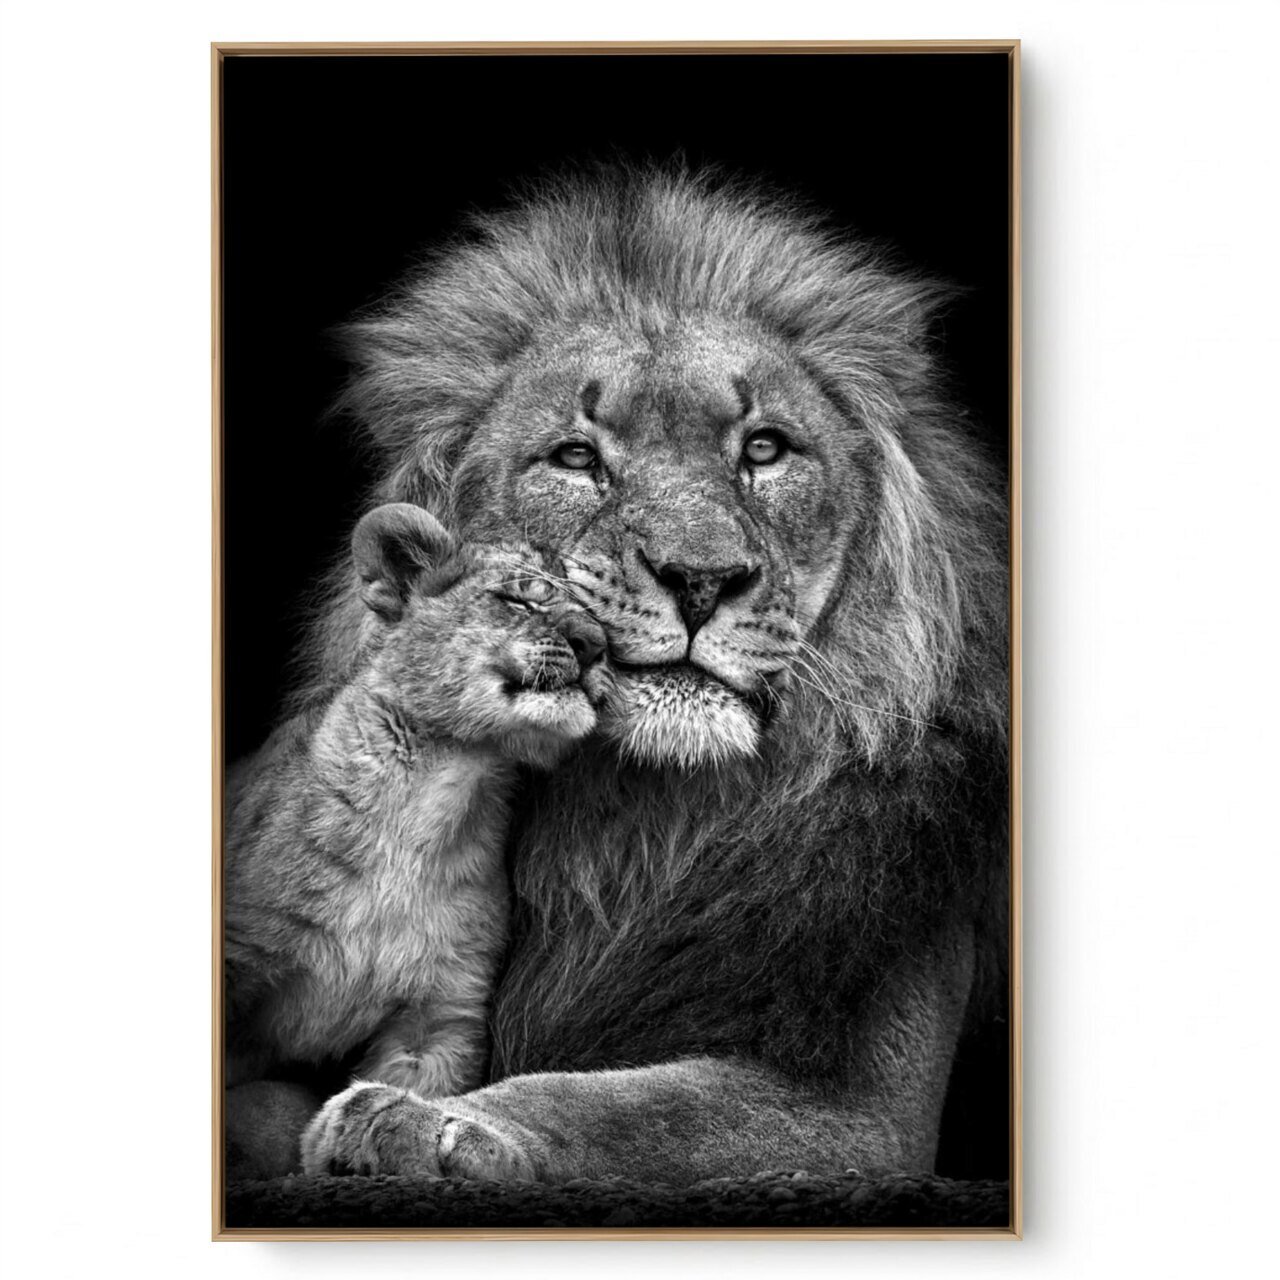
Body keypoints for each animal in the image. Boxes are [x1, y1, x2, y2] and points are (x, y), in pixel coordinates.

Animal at [263, 165, 1007, 1186]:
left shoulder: (870, 1120)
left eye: (765, 447)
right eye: (577, 458)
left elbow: (623, 1107)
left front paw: (428, 1122)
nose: (700, 578)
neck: (637, 826)